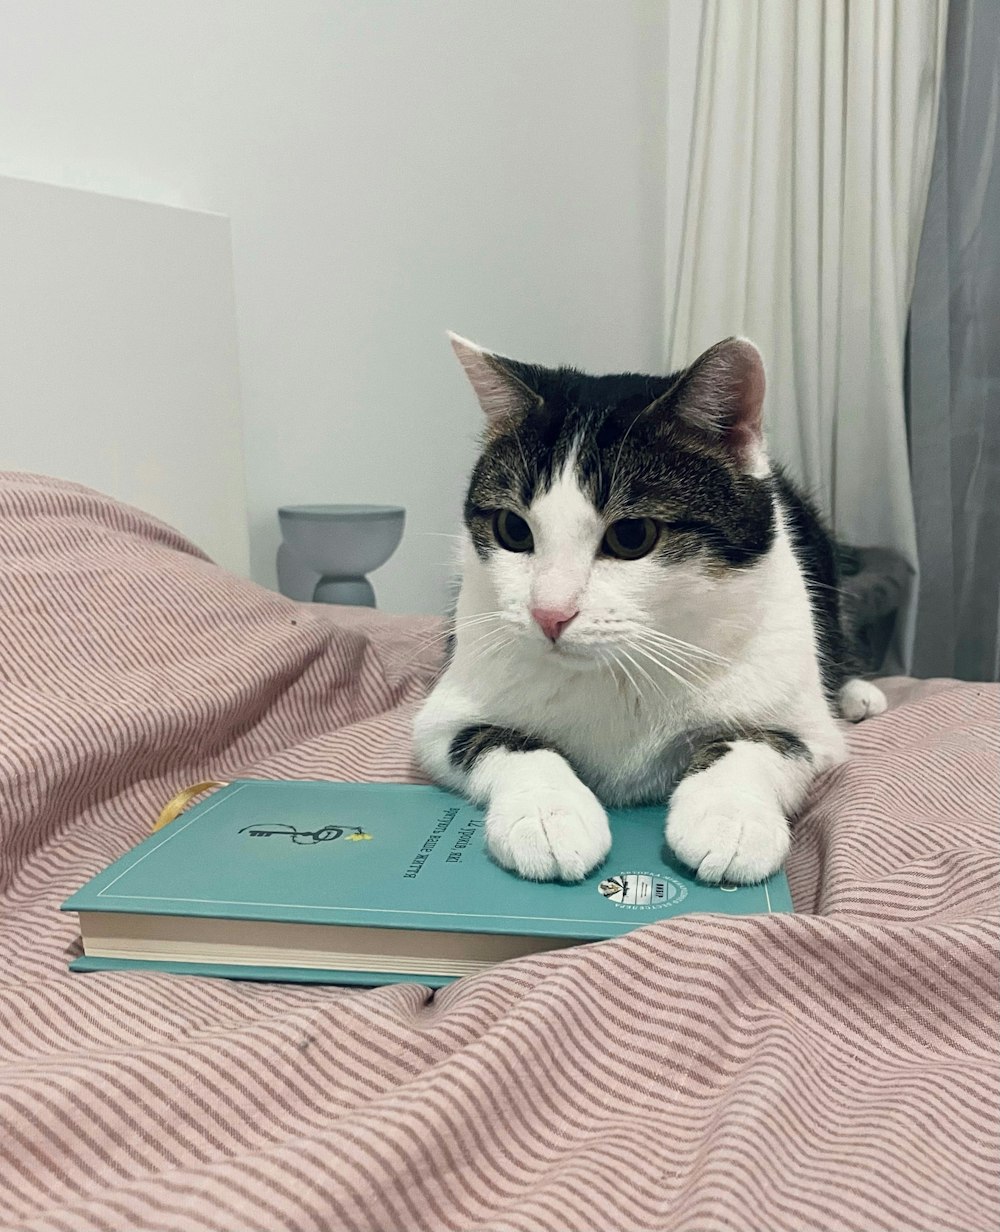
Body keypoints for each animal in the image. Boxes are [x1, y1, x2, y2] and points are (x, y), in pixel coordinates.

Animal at [411, 332, 886, 882]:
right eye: (513, 530)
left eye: (632, 536)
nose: (549, 613)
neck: (619, 669)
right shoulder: (442, 717)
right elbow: (502, 740)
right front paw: (548, 814)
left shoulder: (805, 725)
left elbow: (757, 742)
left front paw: (730, 817)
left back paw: (857, 693)